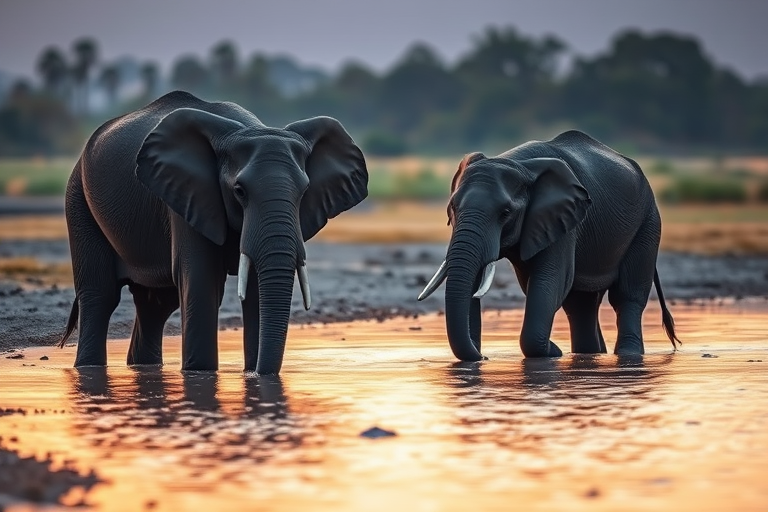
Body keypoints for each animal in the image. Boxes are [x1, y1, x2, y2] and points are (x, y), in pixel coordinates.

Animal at [59, 90, 368, 374]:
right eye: (239, 191)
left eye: (304, 192)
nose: (259, 373)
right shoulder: (189, 196)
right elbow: (201, 281)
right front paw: (201, 373)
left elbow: (254, 287)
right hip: (78, 200)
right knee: (101, 296)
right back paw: (88, 368)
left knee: (155, 304)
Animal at [418, 130, 679, 361]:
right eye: (453, 208)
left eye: (505, 213)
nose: (484, 357)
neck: (518, 164)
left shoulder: (564, 219)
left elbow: (549, 281)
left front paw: (553, 352)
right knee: (581, 305)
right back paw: (589, 355)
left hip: (648, 222)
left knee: (627, 296)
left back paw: (627, 356)